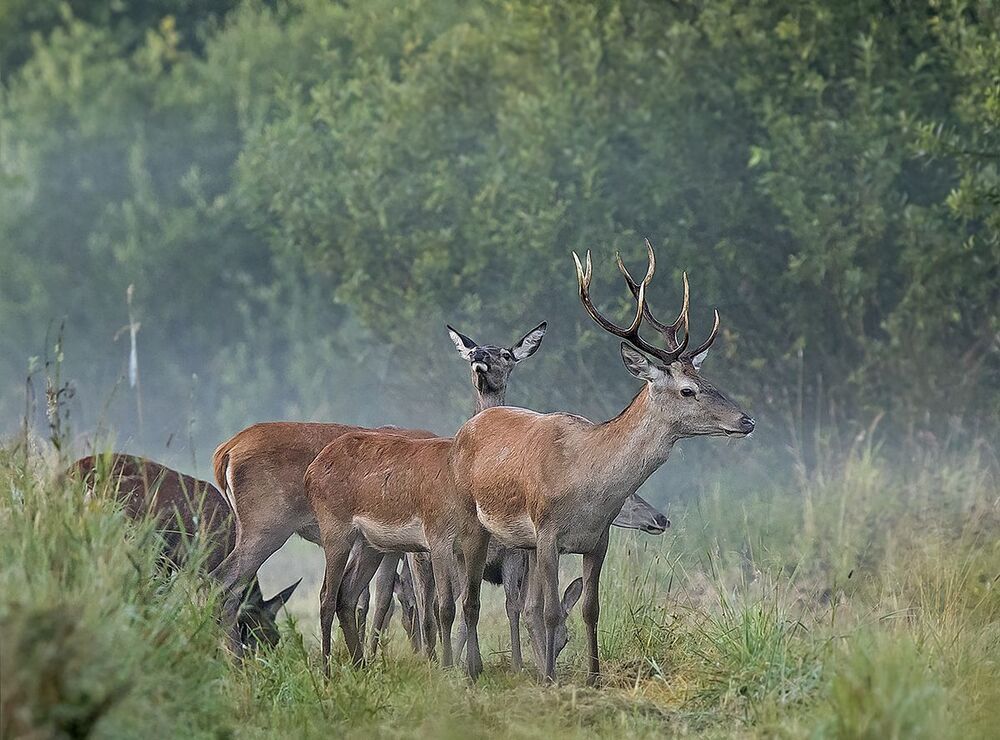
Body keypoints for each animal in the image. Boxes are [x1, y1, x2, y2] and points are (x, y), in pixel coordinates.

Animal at [209, 322, 547, 655]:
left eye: (506, 354)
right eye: (472, 351)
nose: (480, 356)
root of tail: (225, 451)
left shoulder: (397, 547)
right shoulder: (417, 547)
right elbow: (410, 601)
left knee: (229, 590)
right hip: (266, 524)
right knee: (221, 582)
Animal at [450, 240, 756, 682]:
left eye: (710, 382)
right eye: (688, 390)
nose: (746, 421)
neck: (587, 481)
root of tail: (471, 424)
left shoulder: (598, 539)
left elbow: (591, 610)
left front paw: (593, 677)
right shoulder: (547, 533)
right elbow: (549, 611)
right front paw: (549, 678)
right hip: (471, 519)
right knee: (471, 599)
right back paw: (472, 669)